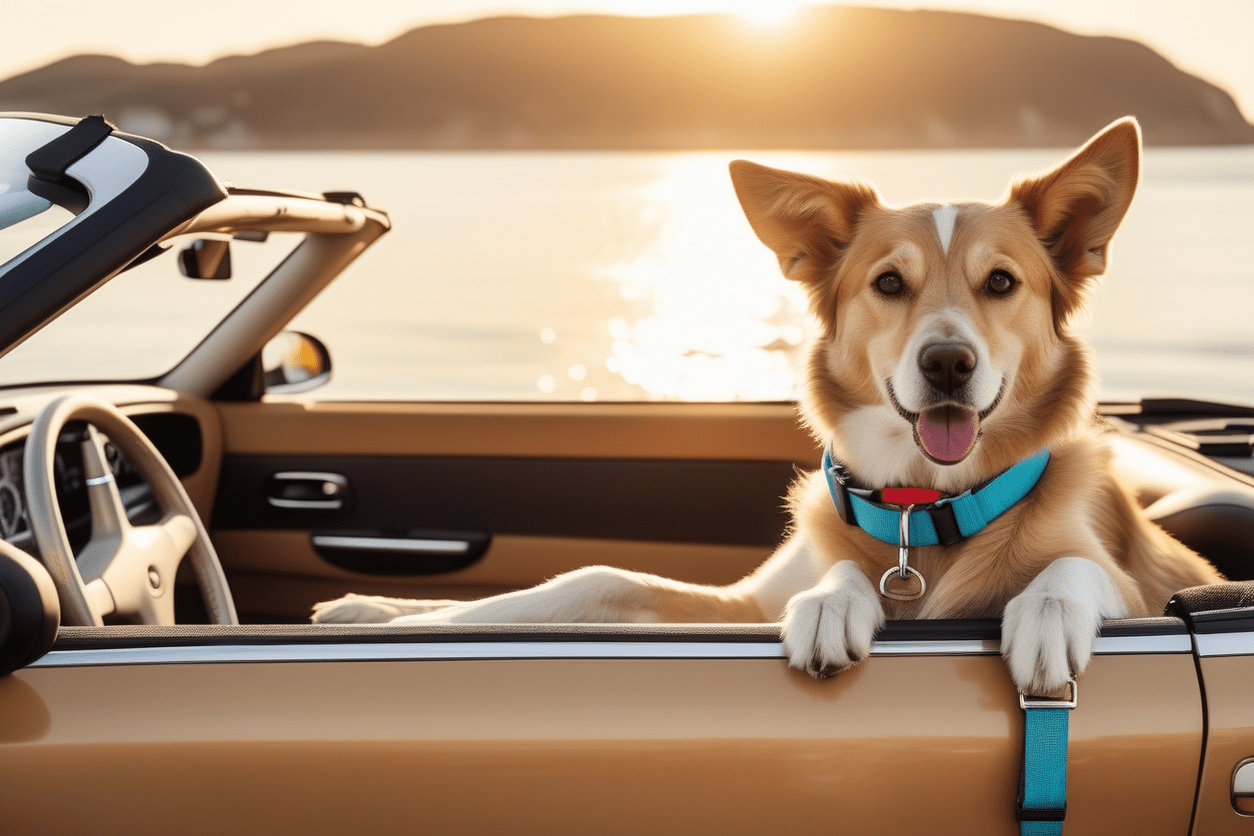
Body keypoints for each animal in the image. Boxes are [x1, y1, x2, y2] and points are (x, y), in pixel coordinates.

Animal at [313, 115, 1223, 691]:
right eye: (888, 284)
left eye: (1001, 283)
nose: (948, 364)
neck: (918, 510)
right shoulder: (743, 605)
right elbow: (597, 579)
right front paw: (380, 614)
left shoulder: (1135, 584)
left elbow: (1080, 571)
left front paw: (1047, 610)